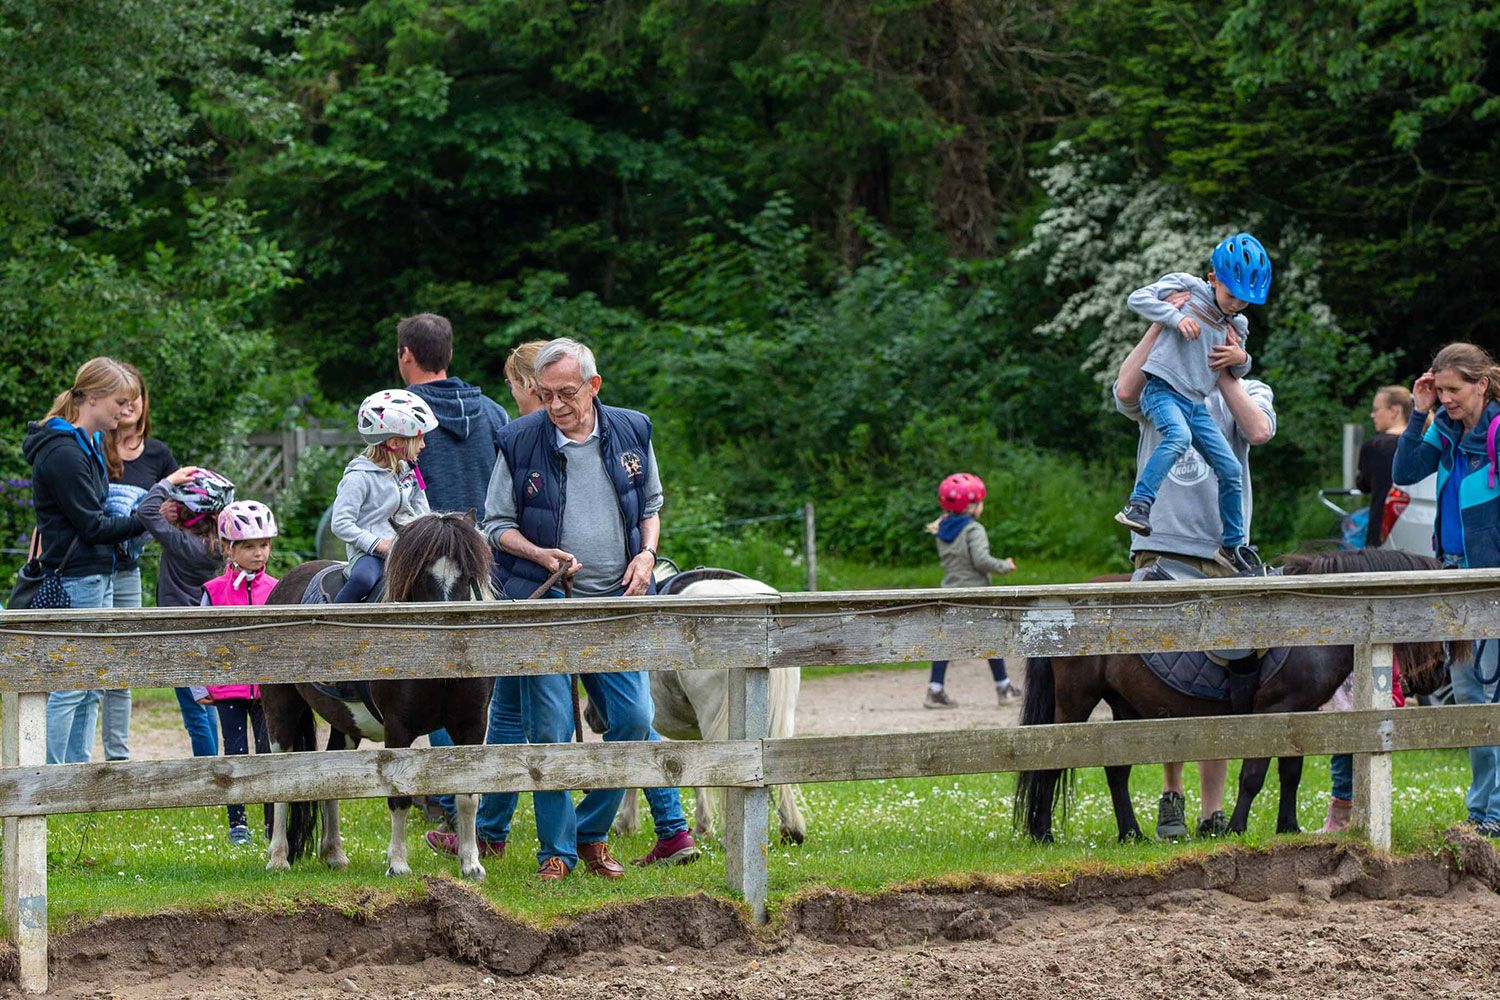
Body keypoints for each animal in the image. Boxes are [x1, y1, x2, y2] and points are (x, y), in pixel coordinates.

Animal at [260, 511, 497, 880]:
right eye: (419, 576)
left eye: (468, 574)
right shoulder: (397, 727)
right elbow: (399, 797)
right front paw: (398, 863)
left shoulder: (472, 725)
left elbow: (468, 795)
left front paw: (471, 865)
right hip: (281, 709)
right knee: (281, 779)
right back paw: (278, 856)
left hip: (344, 726)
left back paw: (334, 854)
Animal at [1012, 548, 1455, 843]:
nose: (1438, 674)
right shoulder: (1272, 710)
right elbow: (1253, 775)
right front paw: (1238, 829)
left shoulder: (1300, 714)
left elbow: (1290, 773)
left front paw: (1288, 827)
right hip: (1075, 701)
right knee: (1049, 763)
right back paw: (1043, 833)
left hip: (1124, 707)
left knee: (1115, 771)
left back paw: (1131, 834)